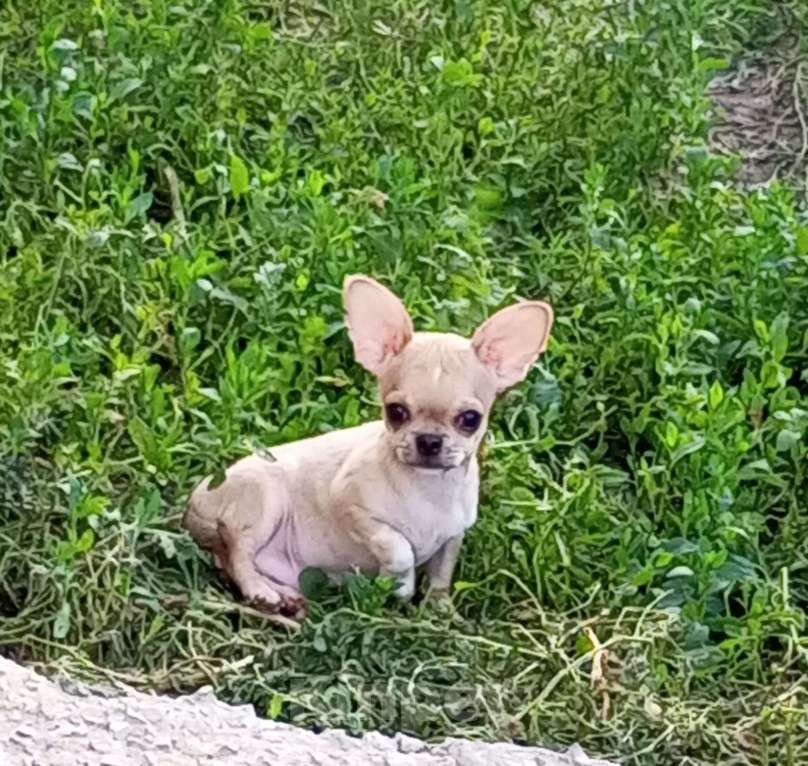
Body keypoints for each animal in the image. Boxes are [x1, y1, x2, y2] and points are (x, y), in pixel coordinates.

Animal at [184, 274, 552, 616]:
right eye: (396, 412)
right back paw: (260, 590)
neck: (428, 489)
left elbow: (442, 575)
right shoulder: (353, 510)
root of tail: (194, 503)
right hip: (264, 502)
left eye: (470, 419)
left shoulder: (453, 536)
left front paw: (440, 609)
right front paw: (401, 586)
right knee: (239, 554)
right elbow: (400, 548)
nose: (429, 440)